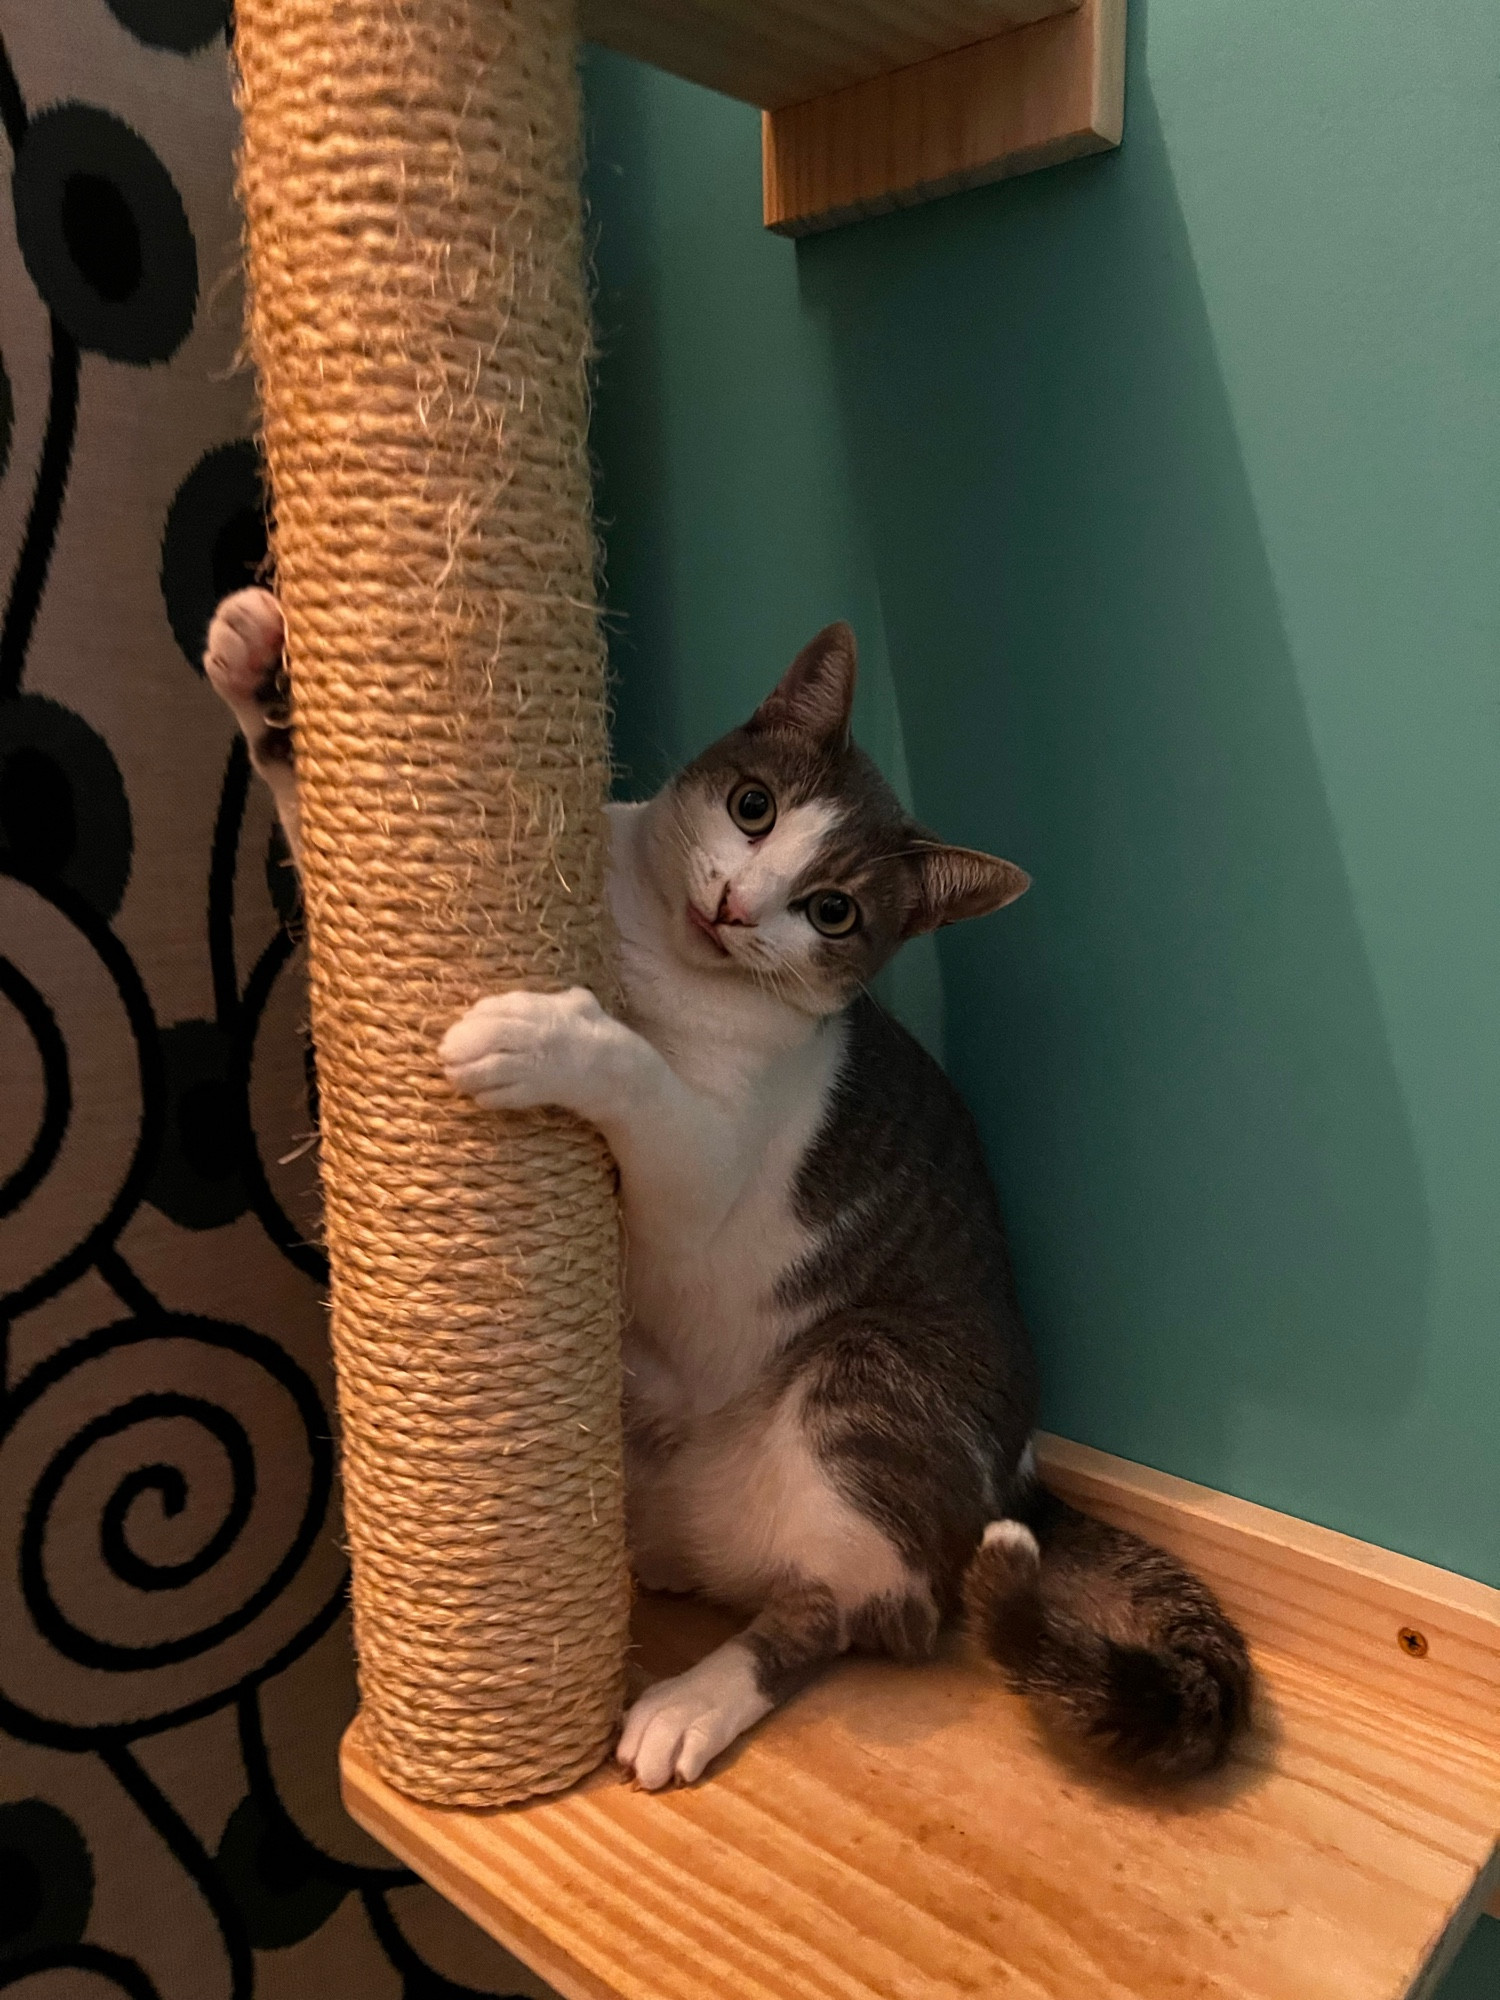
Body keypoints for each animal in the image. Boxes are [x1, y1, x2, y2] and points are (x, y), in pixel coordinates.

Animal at [206, 584, 1248, 1792]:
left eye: (833, 910)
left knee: (866, 1609)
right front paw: (257, 664)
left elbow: (640, 1081)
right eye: (754, 807)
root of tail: (1019, 1472)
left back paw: (693, 1699)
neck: (655, 953)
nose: (740, 905)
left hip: (867, 1375)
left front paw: (543, 1034)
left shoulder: (706, 1165)